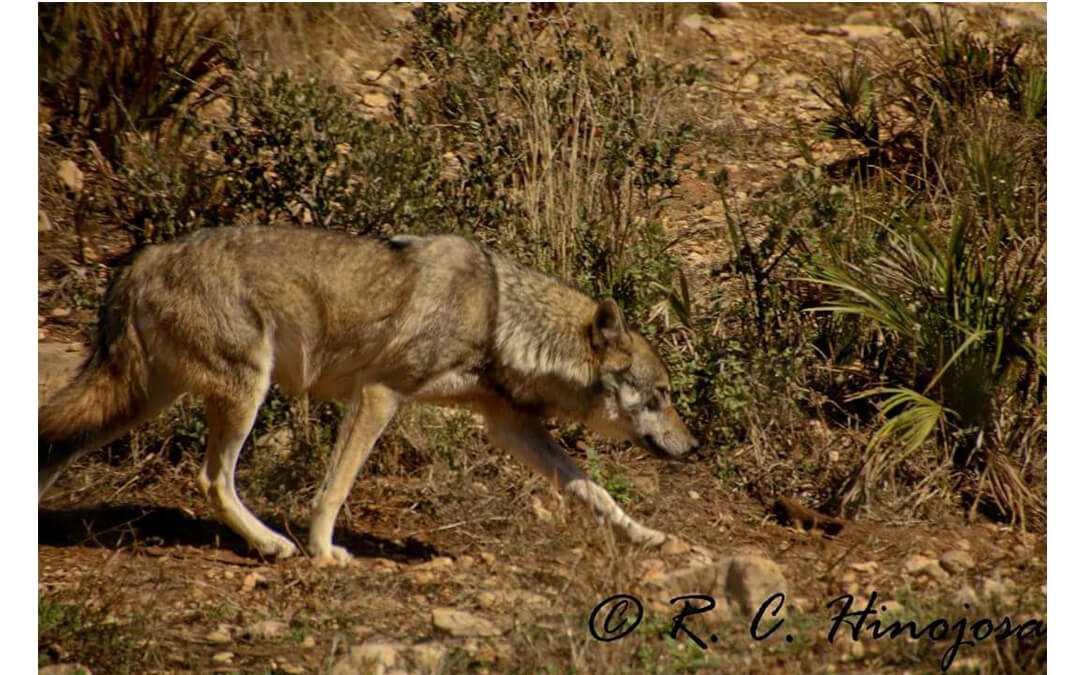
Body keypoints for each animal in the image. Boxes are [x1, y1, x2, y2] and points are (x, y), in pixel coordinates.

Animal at [39, 227, 699, 564]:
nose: (694, 448)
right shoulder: (380, 395)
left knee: (57, 436)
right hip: (242, 392)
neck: (499, 317)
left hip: (143, 400)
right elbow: (334, 488)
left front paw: (649, 538)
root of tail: (142, 258)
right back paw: (274, 545)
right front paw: (323, 552)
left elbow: (593, 490)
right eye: (664, 394)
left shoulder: (507, 425)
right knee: (212, 479)